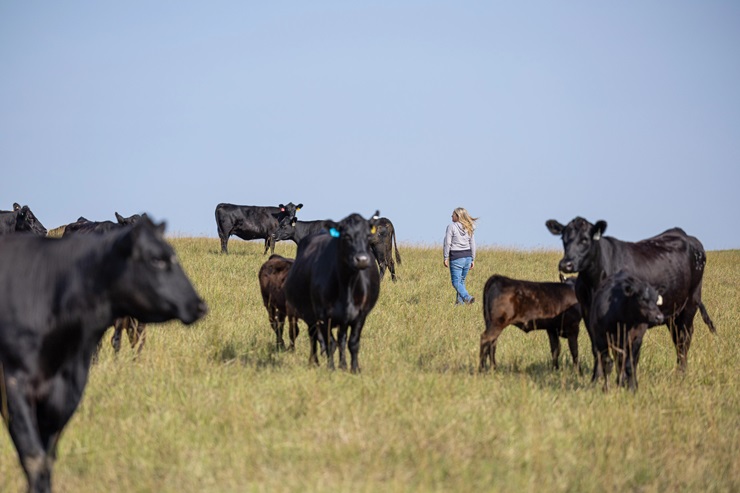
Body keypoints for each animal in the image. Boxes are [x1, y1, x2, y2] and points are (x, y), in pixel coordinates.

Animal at [284, 209, 382, 370]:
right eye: (346, 236)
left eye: (368, 236)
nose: (362, 260)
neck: (347, 285)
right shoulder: (323, 316)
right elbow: (330, 343)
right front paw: (331, 368)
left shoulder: (360, 315)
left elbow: (353, 343)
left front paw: (354, 369)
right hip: (310, 316)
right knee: (314, 337)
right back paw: (315, 362)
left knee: (341, 339)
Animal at [548, 215, 712, 380]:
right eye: (563, 238)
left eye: (585, 239)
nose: (566, 264)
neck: (594, 282)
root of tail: (684, 235)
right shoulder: (588, 314)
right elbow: (597, 348)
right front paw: (597, 377)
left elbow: (621, 351)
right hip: (672, 312)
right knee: (677, 338)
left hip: (691, 303)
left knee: (684, 339)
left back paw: (681, 373)